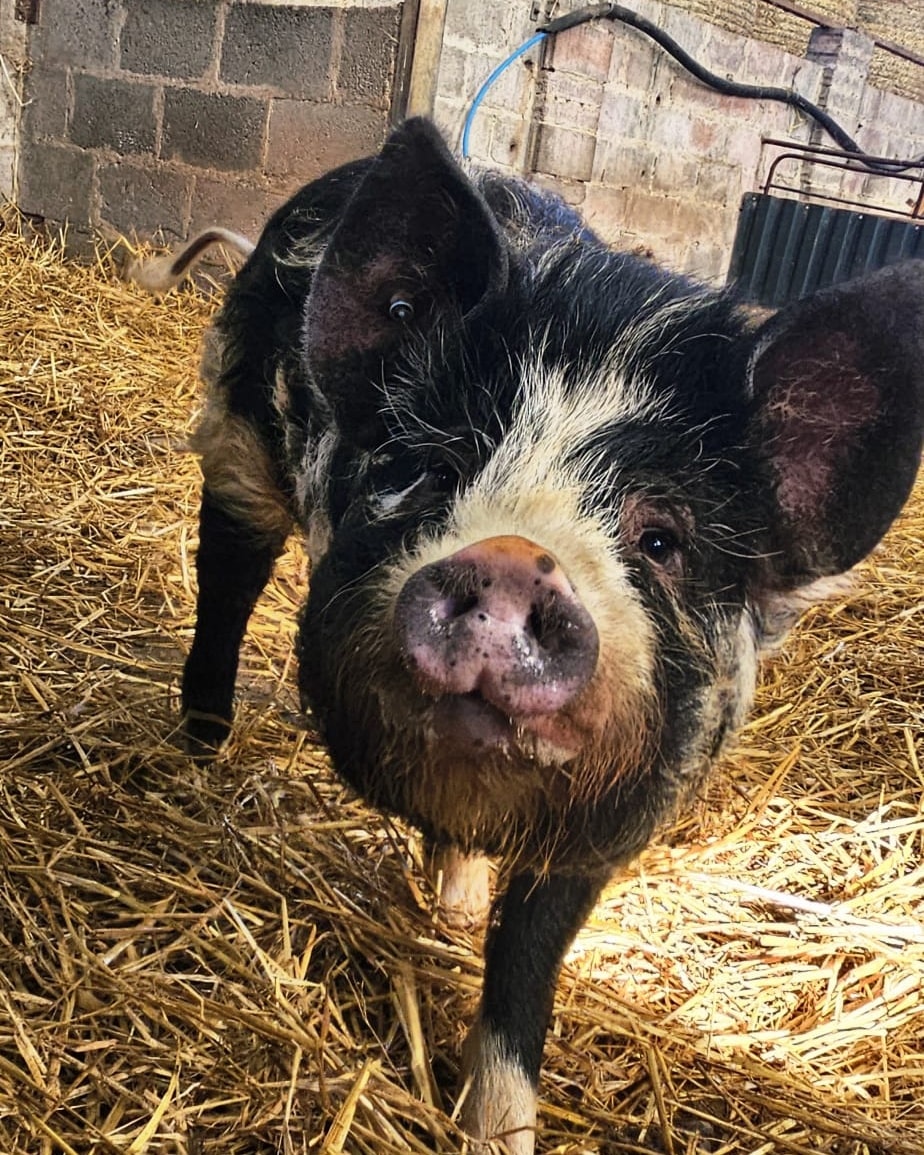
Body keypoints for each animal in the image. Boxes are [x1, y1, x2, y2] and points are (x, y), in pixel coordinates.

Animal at [172, 118, 924, 1152]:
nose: (514, 558)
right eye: (430, 467)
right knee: (226, 580)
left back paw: (453, 904)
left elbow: (528, 964)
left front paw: (499, 1127)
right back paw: (195, 764)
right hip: (238, 438)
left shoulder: (616, 810)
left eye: (662, 538)